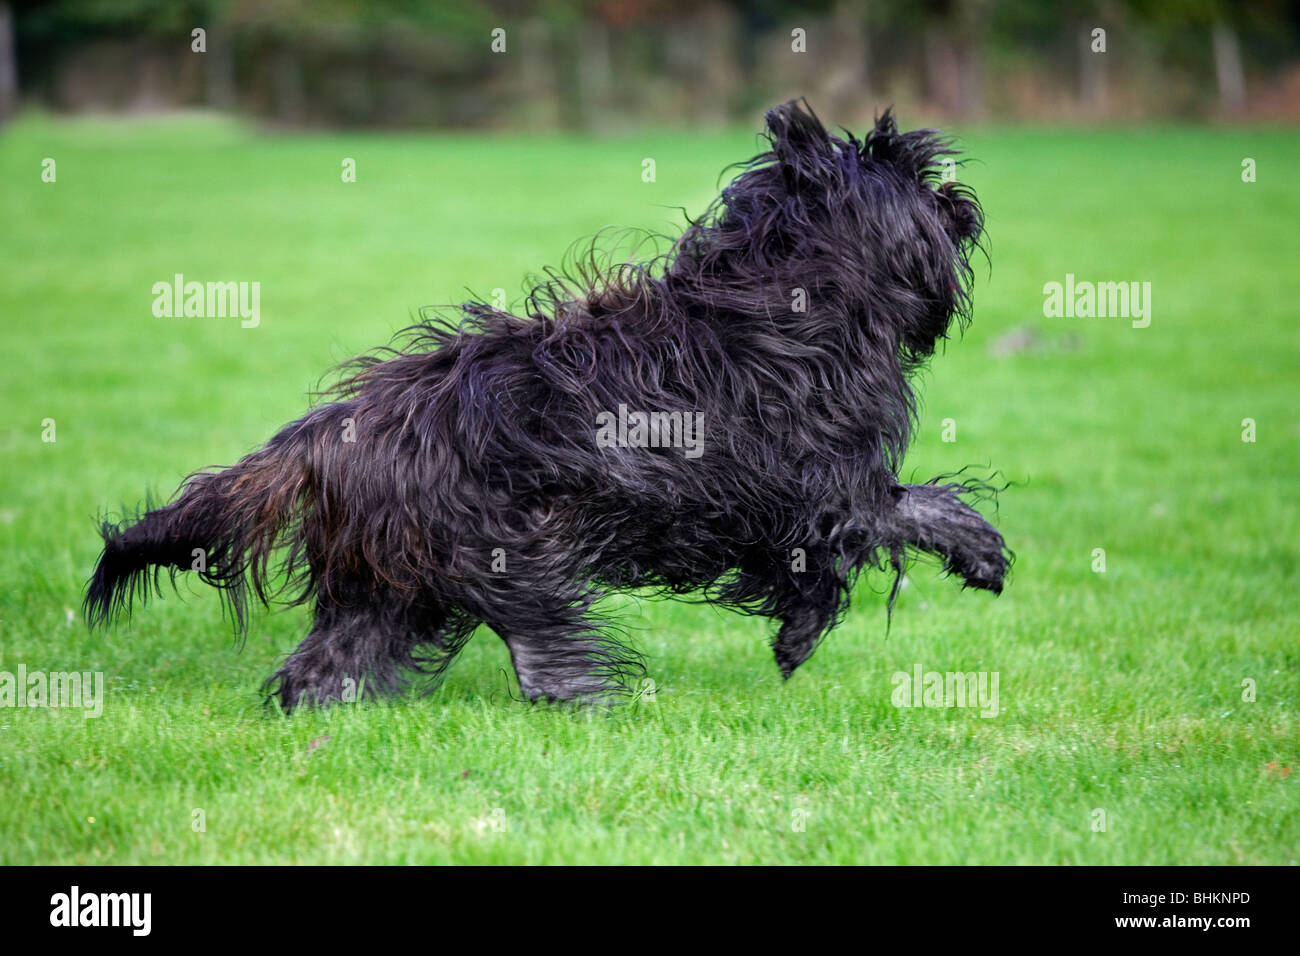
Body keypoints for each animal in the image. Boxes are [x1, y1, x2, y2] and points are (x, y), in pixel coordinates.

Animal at [86, 100, 1008, 707]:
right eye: (910, 174)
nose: (959, 201)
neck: (790, 298)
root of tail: (328, 430)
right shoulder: (822, 491)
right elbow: (904, 513)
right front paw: (974, 554)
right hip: (510, 549)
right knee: (540, 645)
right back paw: (589, 700)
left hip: (388, 576)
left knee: (328, 659)